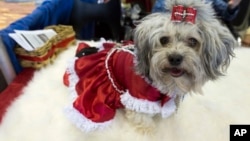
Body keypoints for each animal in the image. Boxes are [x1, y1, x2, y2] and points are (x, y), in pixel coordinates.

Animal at [63, 0, 235, 133]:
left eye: (193, 41)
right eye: (164, 40)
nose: (175, 58)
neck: (164, 82)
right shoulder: (137, 99)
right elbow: (144, 121)